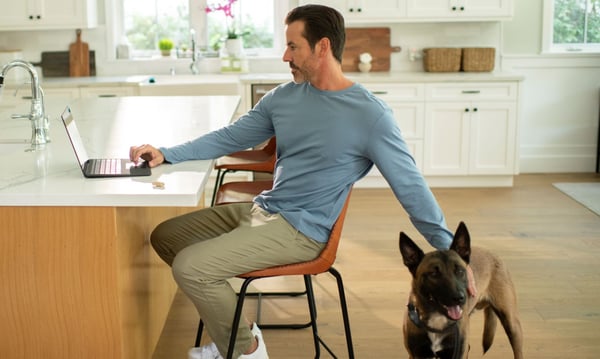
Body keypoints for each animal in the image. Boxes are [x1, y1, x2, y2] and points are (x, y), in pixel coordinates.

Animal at [400, 222, 524, 359]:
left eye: (459, 270)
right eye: (433, 274)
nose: (460, 298)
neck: (437, 320)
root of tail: (492, 254)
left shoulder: (457, 352)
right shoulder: (416, 355)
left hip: (512, 325)